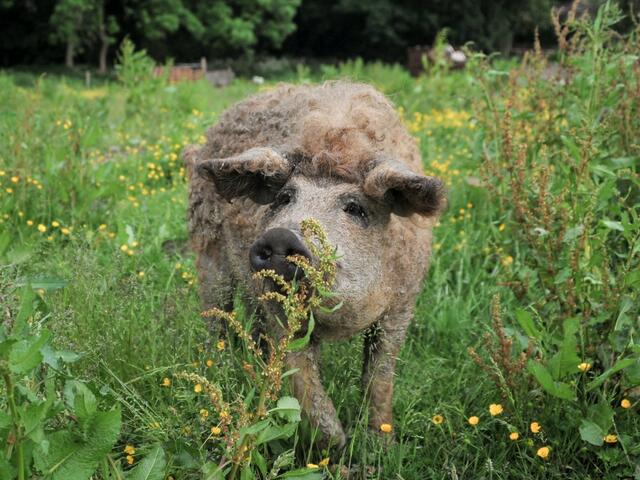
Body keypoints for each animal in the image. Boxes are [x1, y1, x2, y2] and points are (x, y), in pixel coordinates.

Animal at [184, 81, 445, 449]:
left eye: (355, 207)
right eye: (284, 198)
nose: (281, 235)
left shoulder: (402, 305)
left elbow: (379, 376)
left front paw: (379, 445)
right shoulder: (284, 316)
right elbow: (305, 387)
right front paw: (337, 448)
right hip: (208, 252)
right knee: (216, 315)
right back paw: (218, 367)